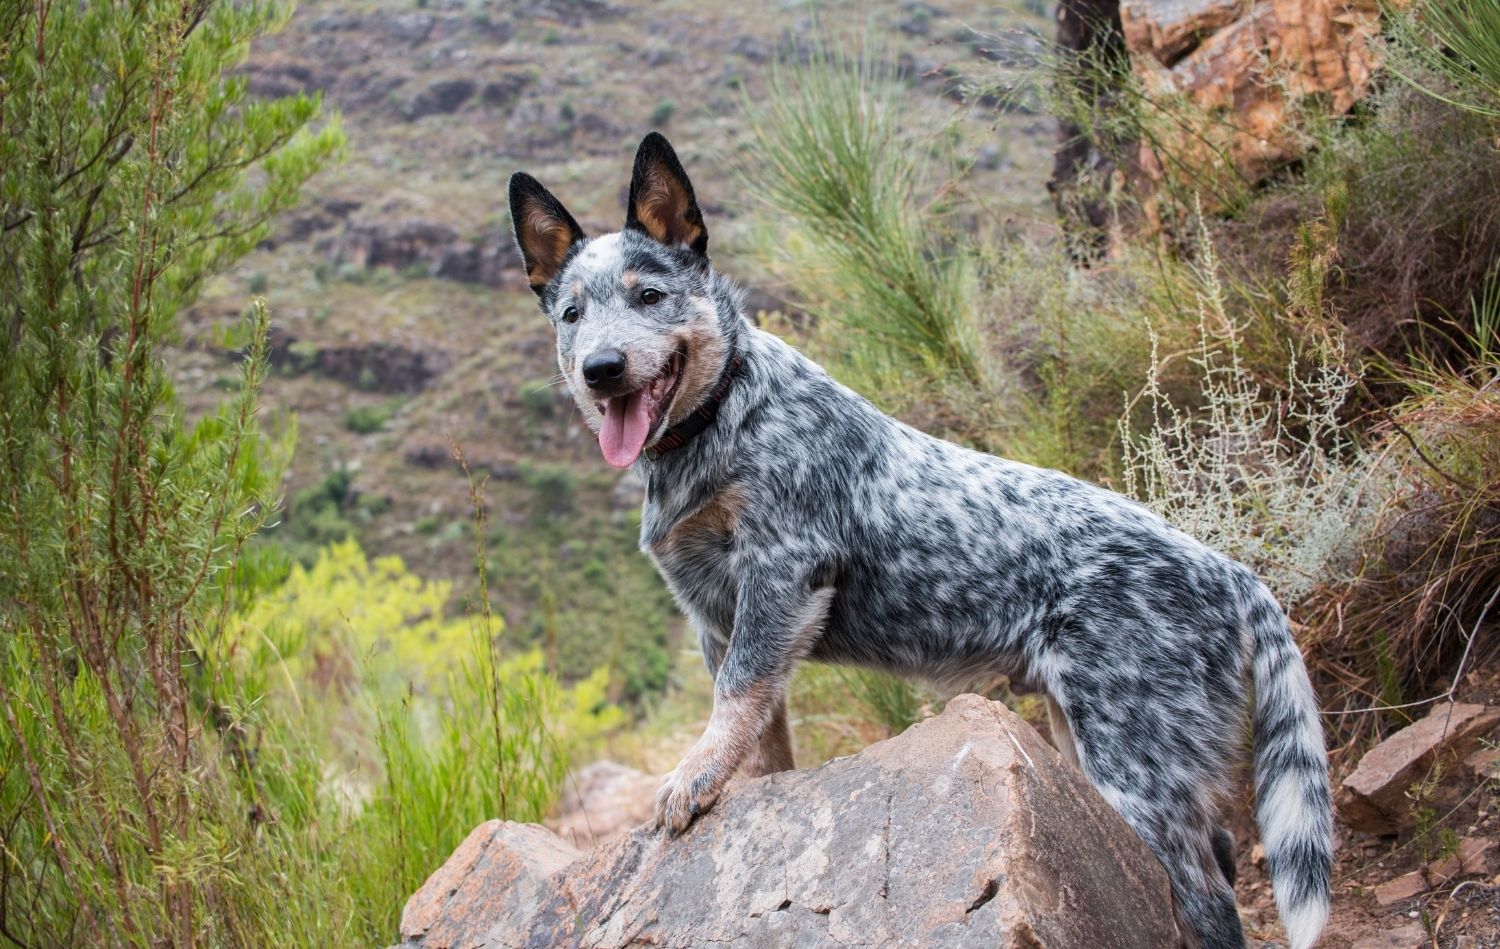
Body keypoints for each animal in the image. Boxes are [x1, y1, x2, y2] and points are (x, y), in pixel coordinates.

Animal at [510, 133, 1332, 947]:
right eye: (572, 314)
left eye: (649, 295)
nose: (601, 369)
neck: (725, 414)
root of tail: (1230, 570)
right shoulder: (716, 617)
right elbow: (758, 736)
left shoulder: (781, 573)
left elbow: (735, 699)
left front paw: (691, 778)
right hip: (1087, 742)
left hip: (1141, 770)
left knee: (1212, 897)